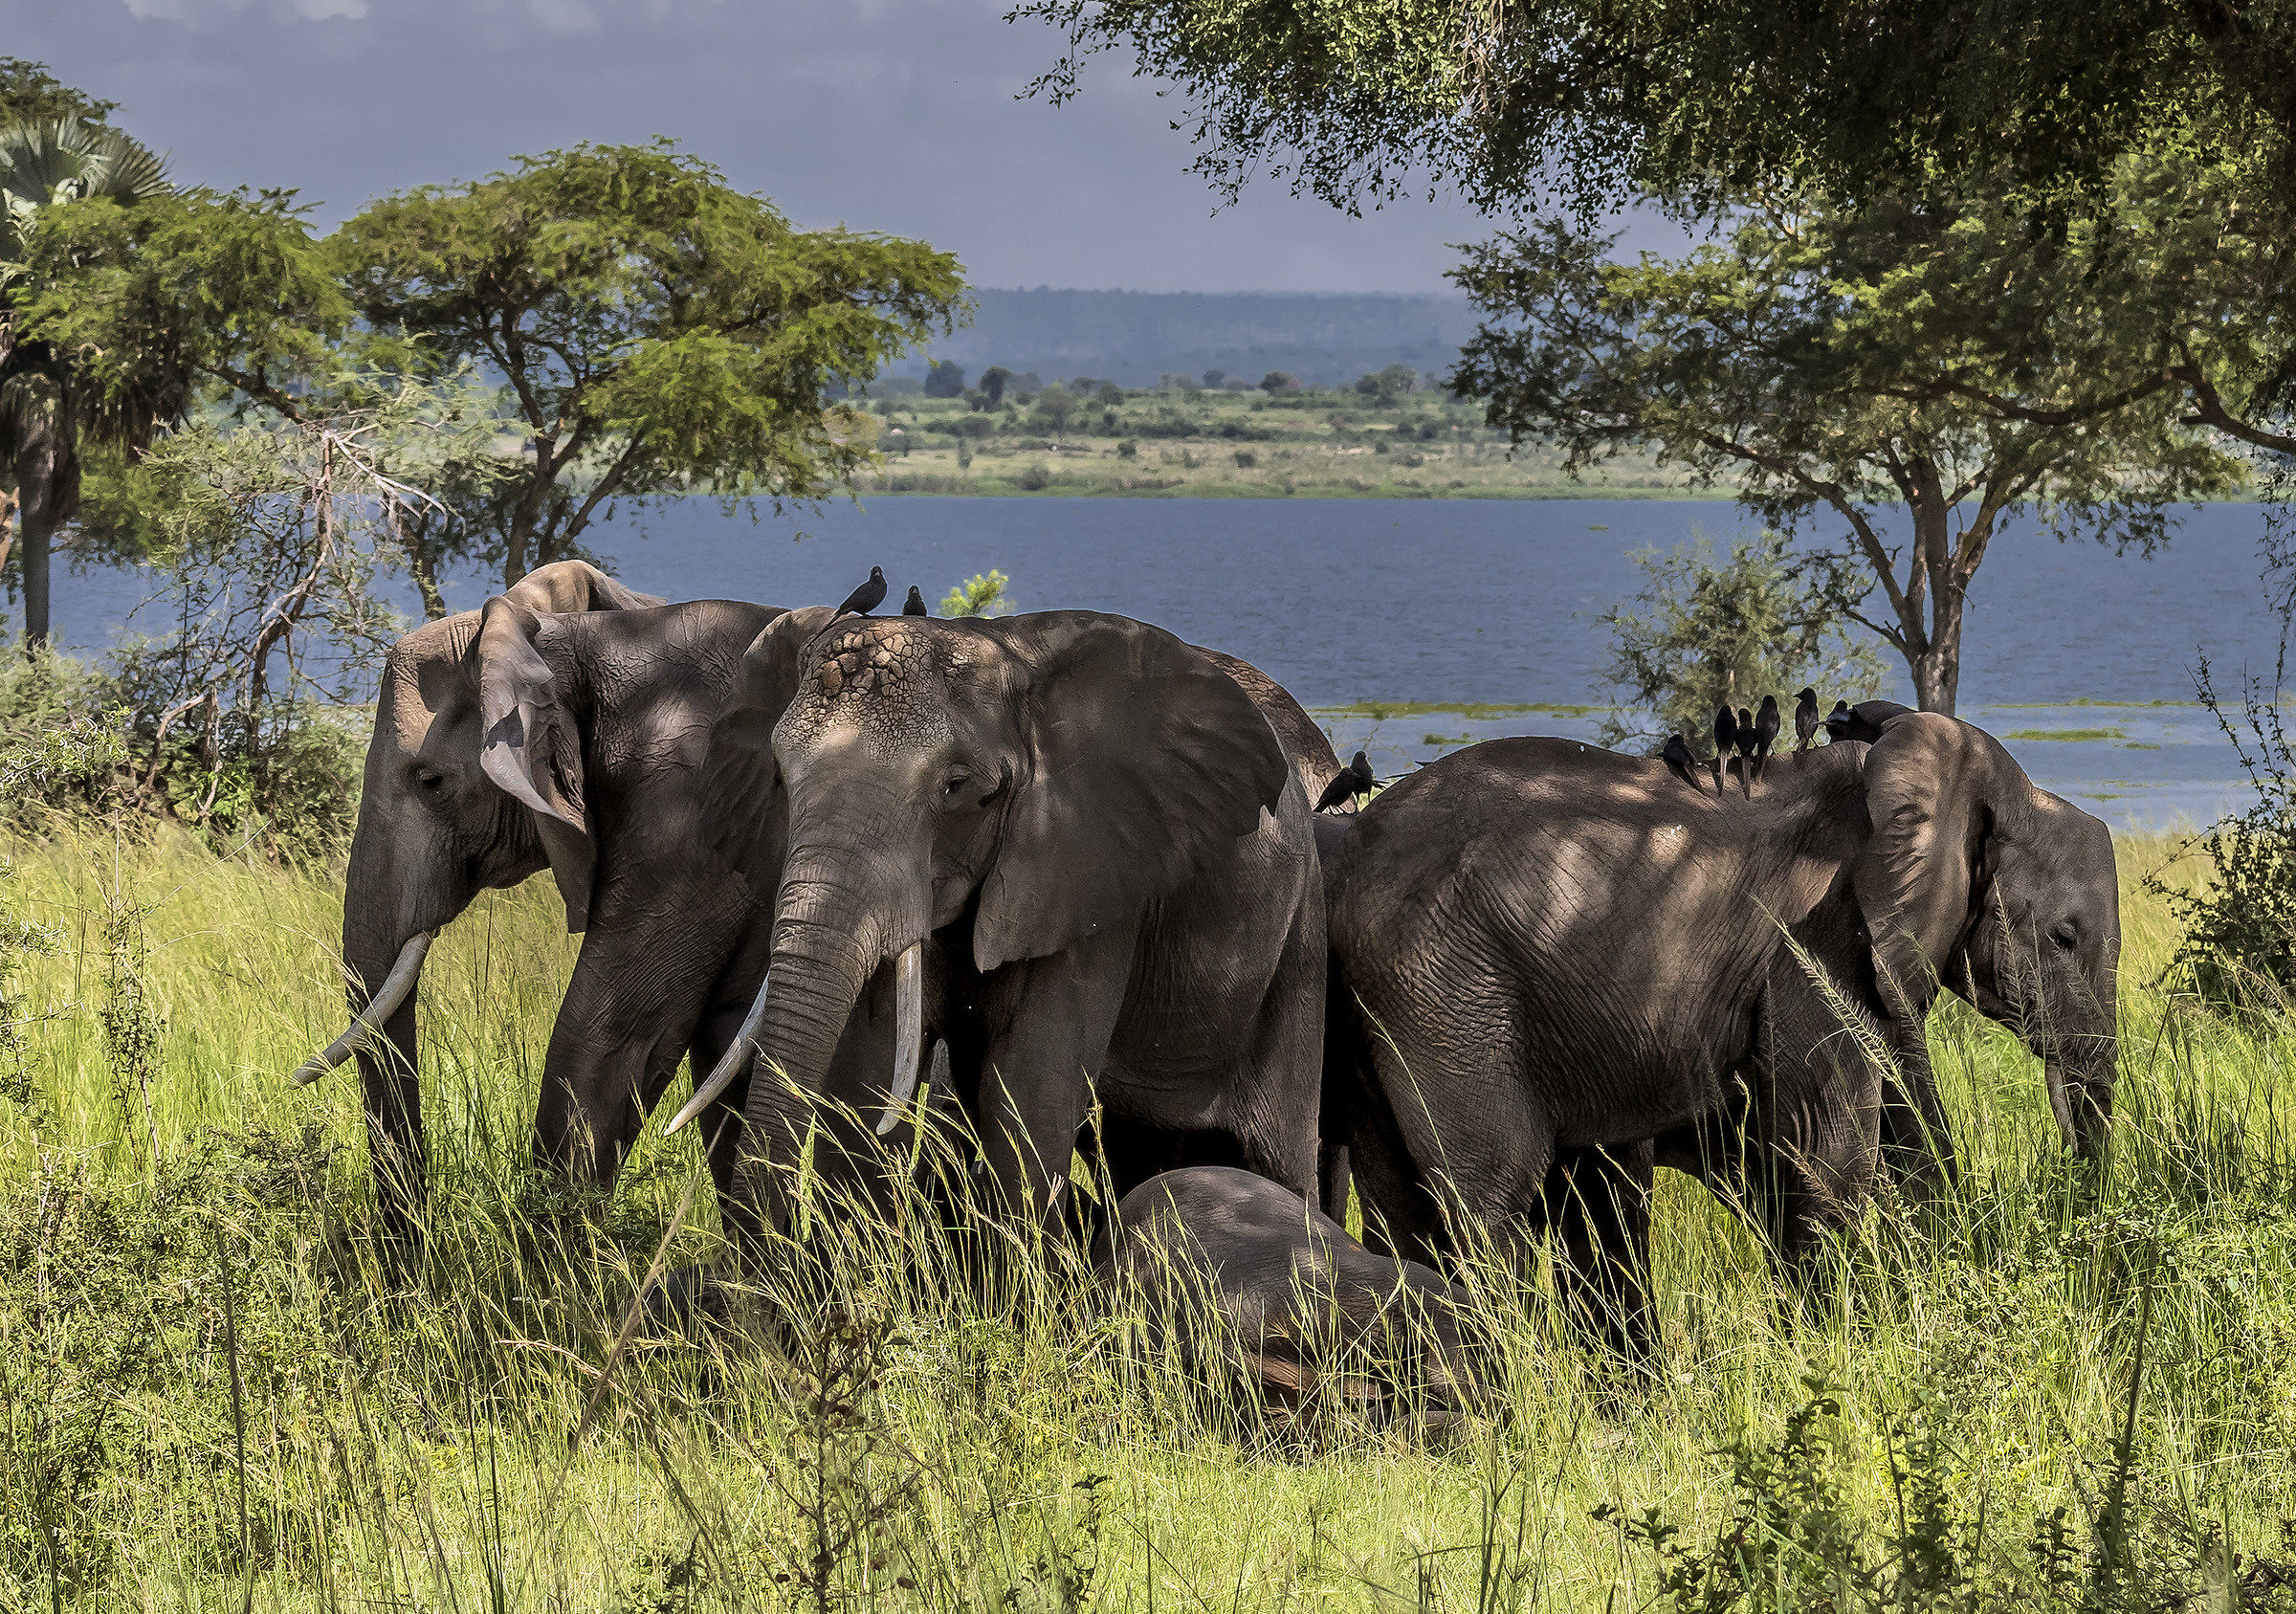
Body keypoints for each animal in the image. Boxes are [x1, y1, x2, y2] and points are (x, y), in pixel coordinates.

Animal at [682, 608, 1329, 1238]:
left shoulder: (1086, 869)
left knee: (1280, 1154)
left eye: (957, 787)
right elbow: (868, 1065)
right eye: (780, 777)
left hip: (1298, 950)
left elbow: (1030, 1089)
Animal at [1320, 704, 2120, 1354]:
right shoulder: (1815, 941)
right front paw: (1833, 1357)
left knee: (1401, 1205)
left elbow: (1903, 1115)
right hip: (1445, 986)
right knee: (1489, 1195)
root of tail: (1348, 856)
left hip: (1387, 1000)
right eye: (2064, 937)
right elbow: (1828, 1148)